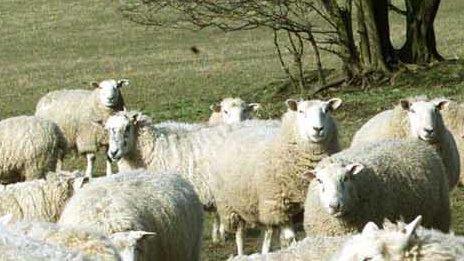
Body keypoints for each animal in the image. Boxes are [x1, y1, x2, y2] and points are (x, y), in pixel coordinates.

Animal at [209, 97, 340, 254]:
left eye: (327, 110)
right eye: (301, 111)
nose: (318, 129)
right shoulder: (278, 205)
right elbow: (289, 237)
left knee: (267, 231)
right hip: (232, 203)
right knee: (240, 233)